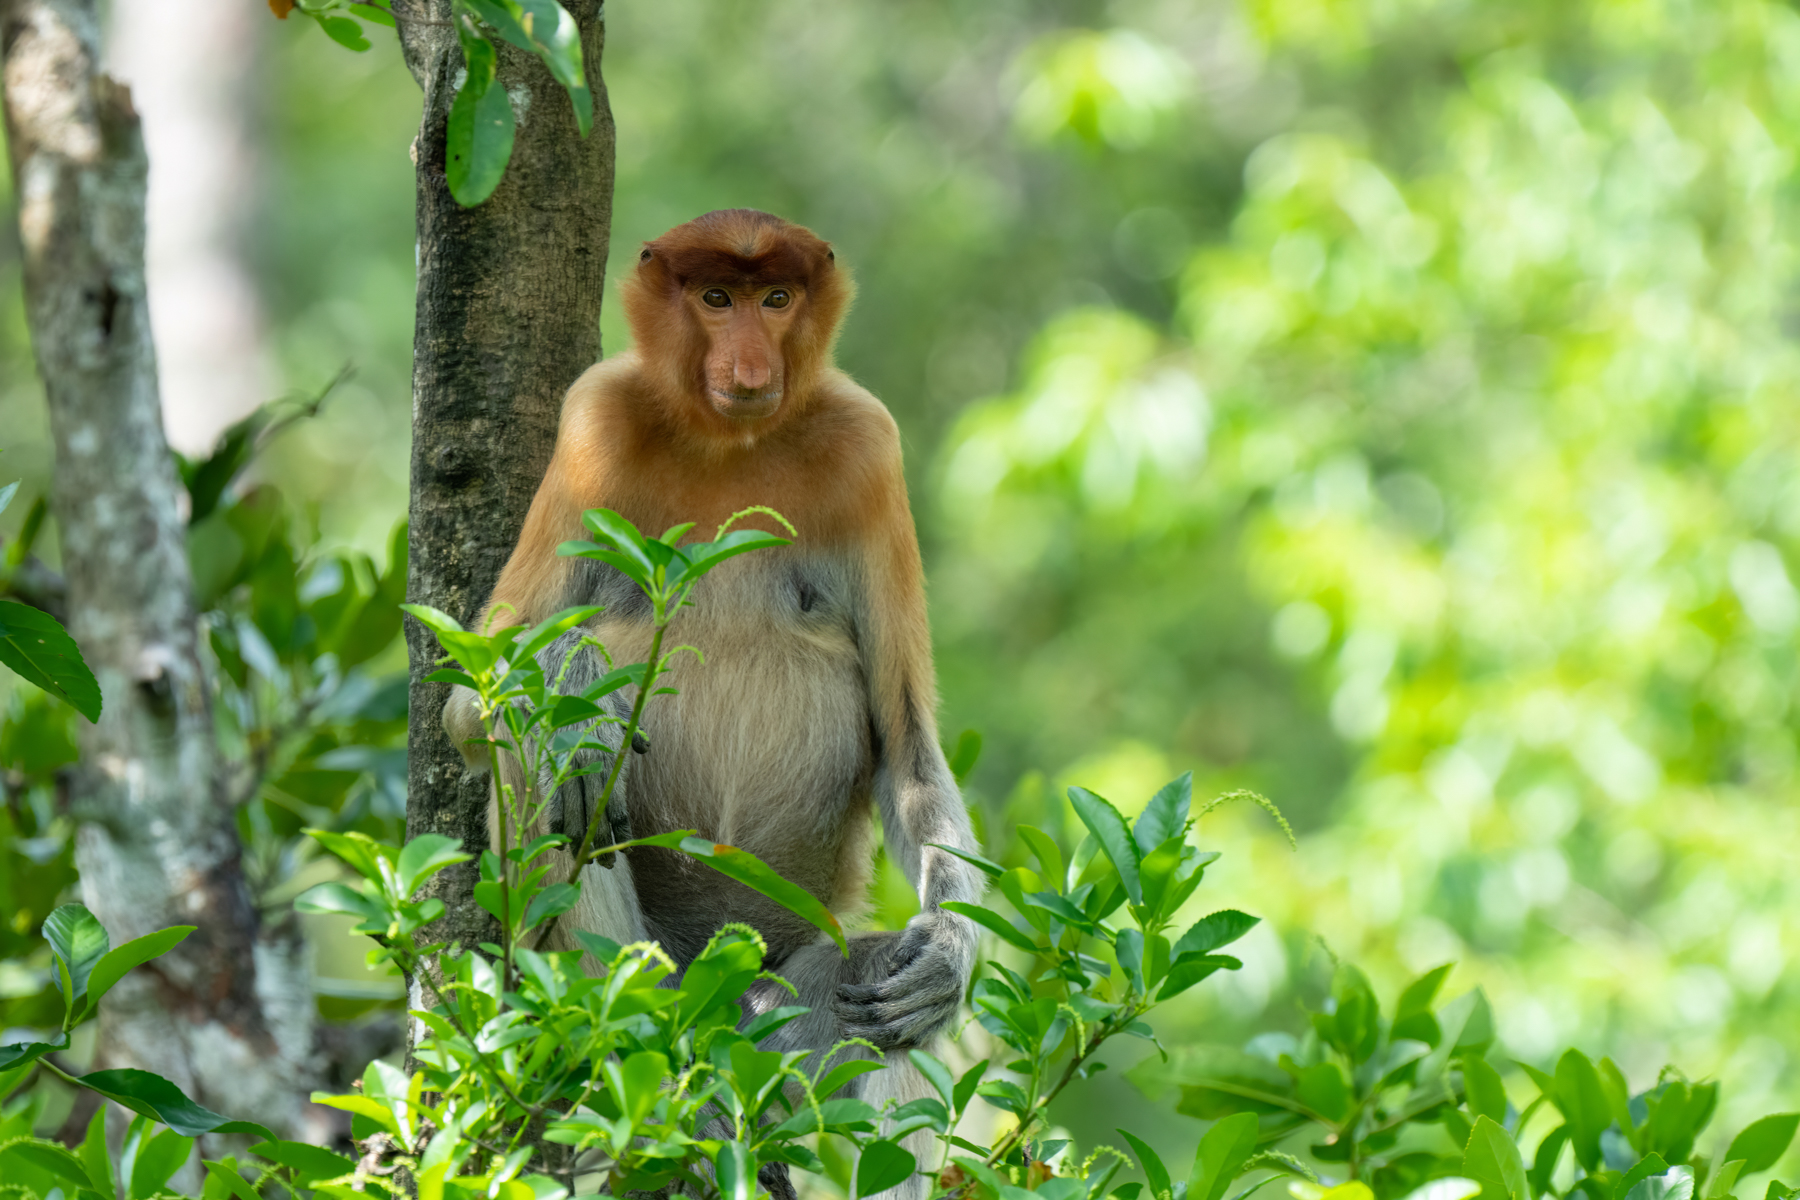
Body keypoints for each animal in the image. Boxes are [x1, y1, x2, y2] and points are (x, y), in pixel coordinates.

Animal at [442, 209, 983, 1191]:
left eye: (778, 299)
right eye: (716, 297)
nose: (751, 369)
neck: (733, 441)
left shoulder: (869, 447)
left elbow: (908, 748)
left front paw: (948, 956)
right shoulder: (592, 422)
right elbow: (474, 696)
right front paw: (577, 679)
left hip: (783, 1029)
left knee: (879, 1016)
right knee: (550, 773)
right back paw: (649, 1076)